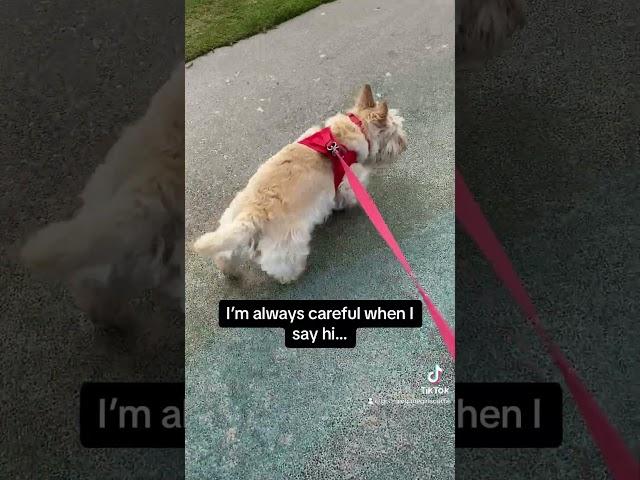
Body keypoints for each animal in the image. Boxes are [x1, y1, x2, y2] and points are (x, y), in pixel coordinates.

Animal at [192, 84, 408, 284]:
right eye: (397, 133)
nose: (405, 145)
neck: (353, 128)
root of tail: (252, 213)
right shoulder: (348, 180)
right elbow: (346, 195)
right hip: (287, 244)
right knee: (282, 266)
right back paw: (293, 275)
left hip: (231, 232)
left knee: (224, 256)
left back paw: (230, 272)